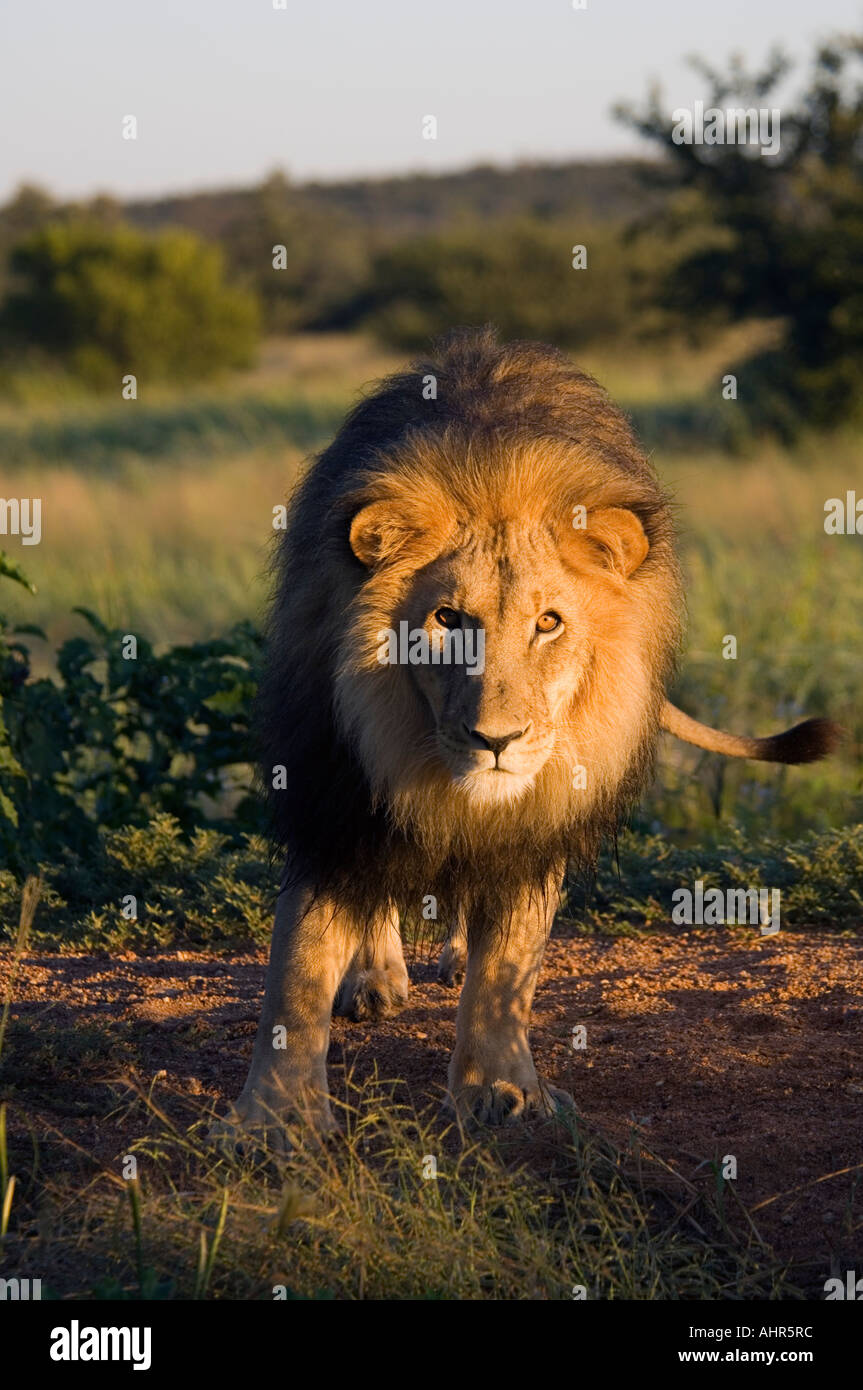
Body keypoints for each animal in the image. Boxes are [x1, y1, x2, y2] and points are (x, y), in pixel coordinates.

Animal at [217, 327, 839, 1147]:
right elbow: (299, 963)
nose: (497, 740)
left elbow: (507, 965)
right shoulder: (334, 789)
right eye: (447, 619)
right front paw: (276, 1119)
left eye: (549, 622)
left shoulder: (540, 821)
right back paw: (377, 979)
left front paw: (502, 1091)